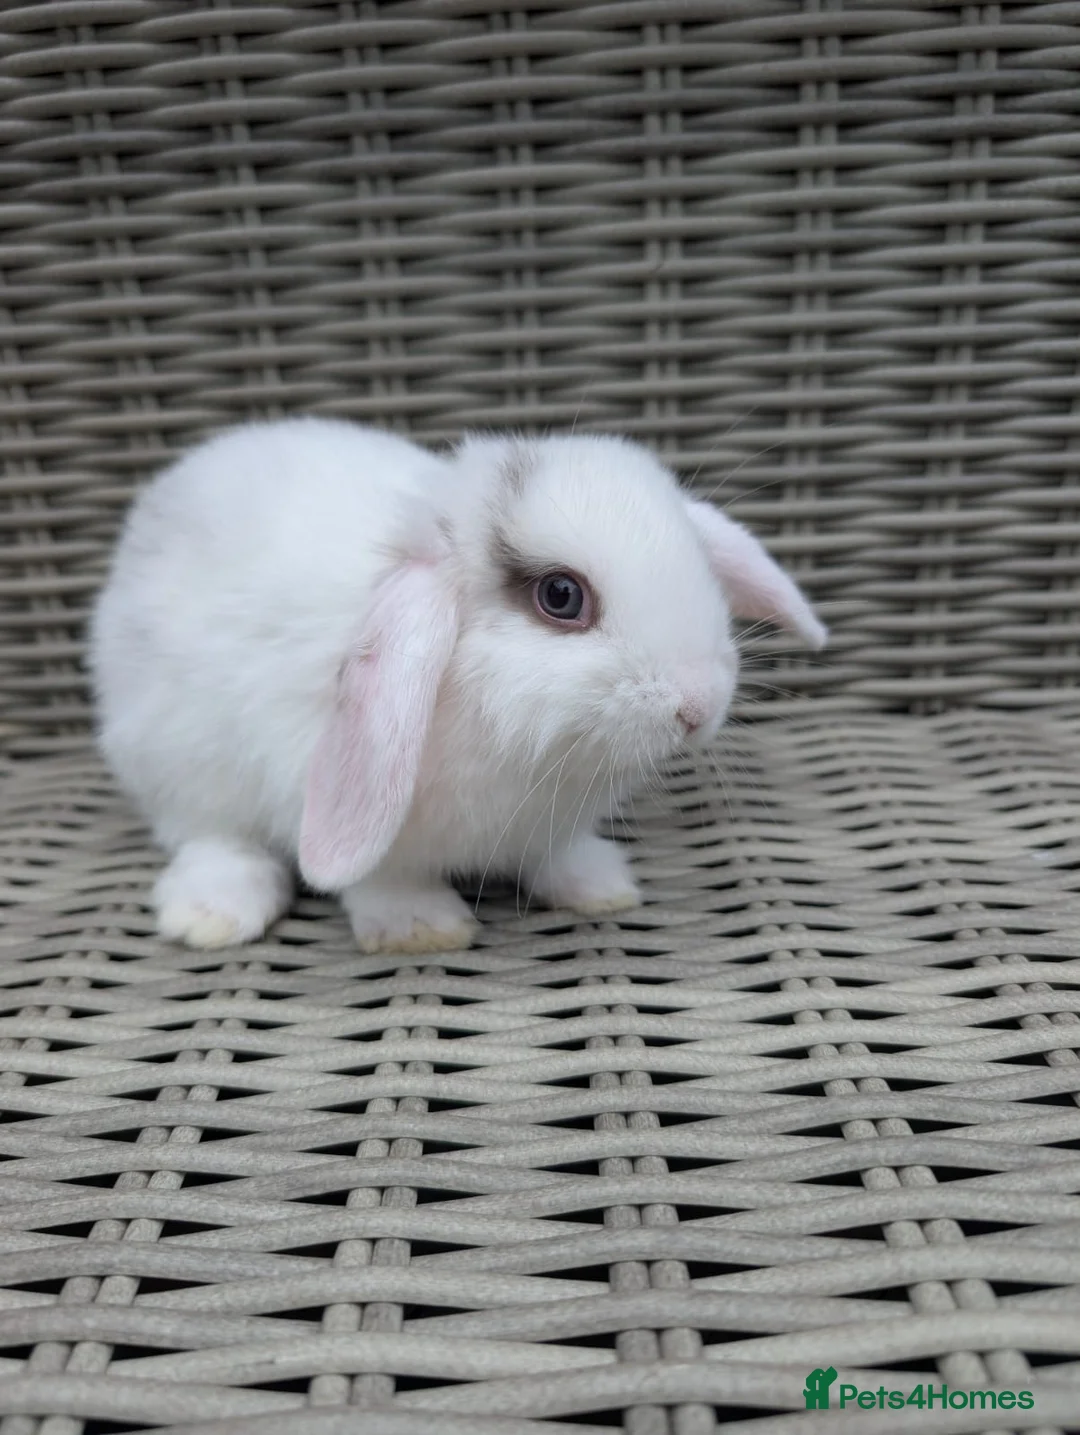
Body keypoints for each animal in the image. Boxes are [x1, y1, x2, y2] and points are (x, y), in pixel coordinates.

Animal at [89, 417, 826, 953]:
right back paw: (211, 914)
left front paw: (599, 886)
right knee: (211, 837)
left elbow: (559, 857)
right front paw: (421, 930)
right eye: (561, 595)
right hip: (176, 760)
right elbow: (384, 877)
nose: (699, 705)